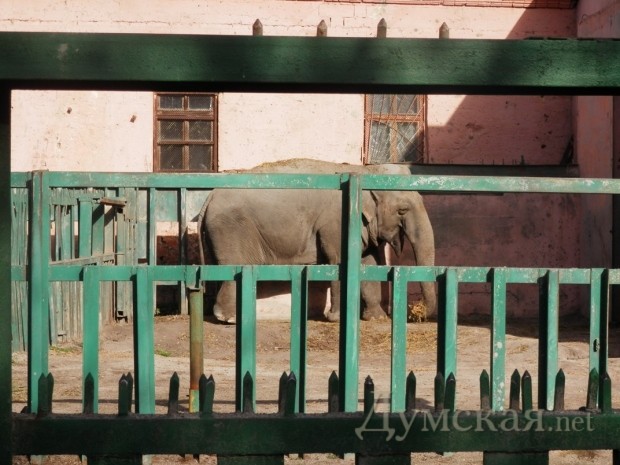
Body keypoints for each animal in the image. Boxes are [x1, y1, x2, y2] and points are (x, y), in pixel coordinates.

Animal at [197, 158, 436, 324]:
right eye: (402, 210)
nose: (416, 312)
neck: (364, 171)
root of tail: (209, 197)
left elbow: (369, 263)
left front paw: (376, 318)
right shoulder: (337, 222)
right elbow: (339, 261)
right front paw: (337, 319)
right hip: (232, 230)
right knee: (234, 269)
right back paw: (230, 318)